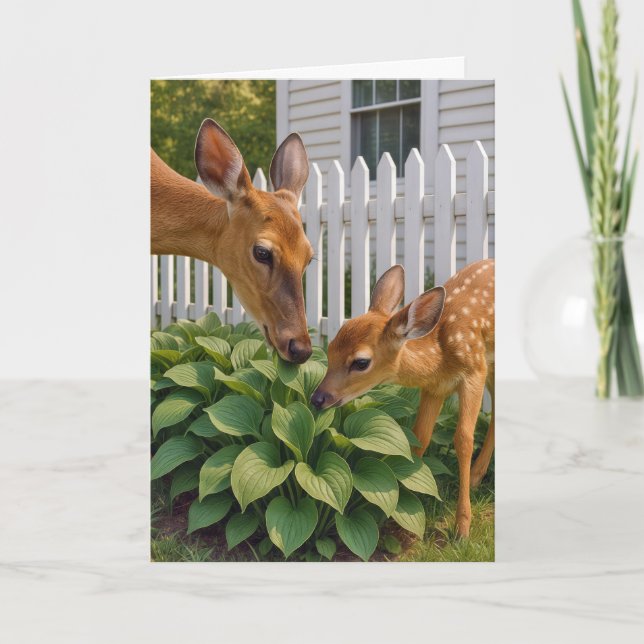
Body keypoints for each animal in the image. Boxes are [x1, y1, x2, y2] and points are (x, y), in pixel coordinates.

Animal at [311, 259, 495, 538]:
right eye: (330, 348)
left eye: (361, 362)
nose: (317, 398)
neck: (441, 354)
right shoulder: (435, 387)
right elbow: (420, 436)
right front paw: (404, 504)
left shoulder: (474, 369)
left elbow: (463, 439)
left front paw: (462, 526)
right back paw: (477, 477)